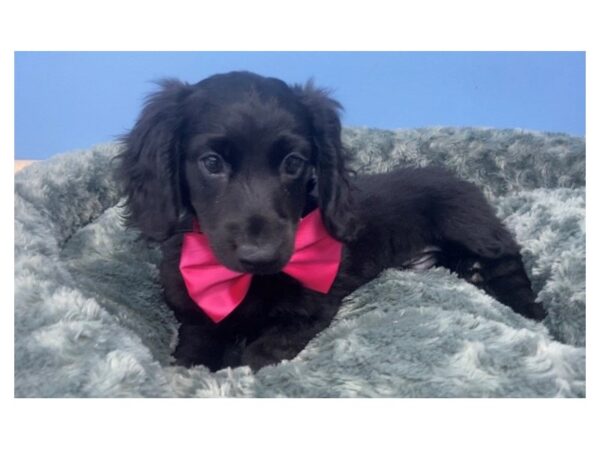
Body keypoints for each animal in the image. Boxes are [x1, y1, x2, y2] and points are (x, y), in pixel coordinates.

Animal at [116, 71, 546, 372]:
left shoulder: (310, 308)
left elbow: (260, 353)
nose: (261, 256)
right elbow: (193, 351)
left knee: (508, 256)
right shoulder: (193, 313)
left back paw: (526, 307)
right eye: (211, 162)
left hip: (467, 222)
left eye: (293, 162)